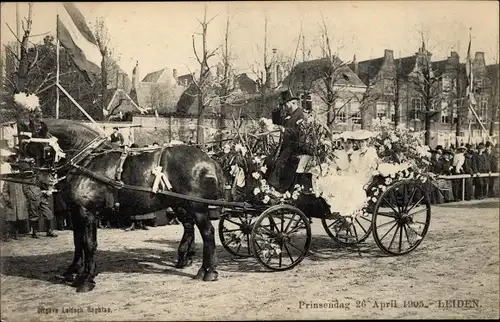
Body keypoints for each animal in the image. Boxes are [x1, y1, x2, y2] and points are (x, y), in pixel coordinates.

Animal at [33, 119, 225, 294]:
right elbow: (78, 242)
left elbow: (89, 244)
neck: (88, 161)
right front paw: (76, 272)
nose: (42, 182)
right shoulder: (76, 212)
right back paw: (190, 261)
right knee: (190, 227)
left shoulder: (87, 212)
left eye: (45, 150)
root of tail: (209, 159)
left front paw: (86, 279)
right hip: (182, 205)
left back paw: (208, 271)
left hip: (197, 207)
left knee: (207, 233)